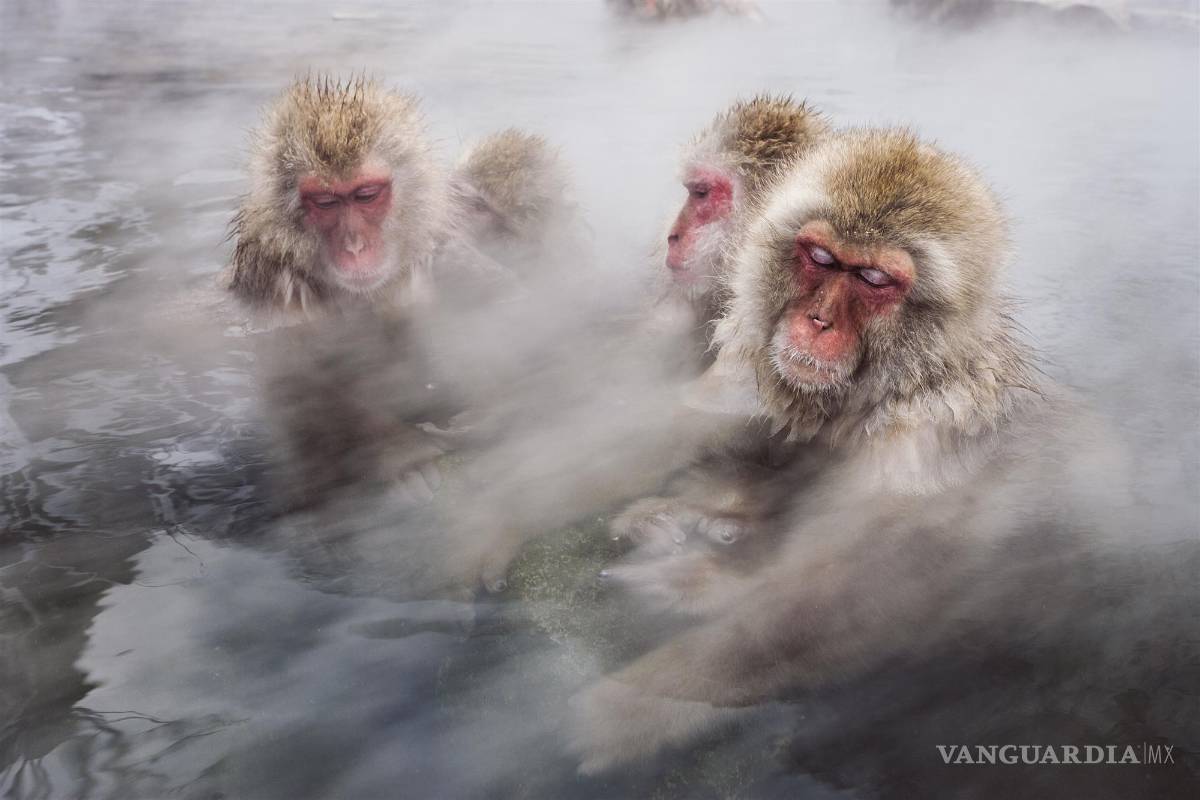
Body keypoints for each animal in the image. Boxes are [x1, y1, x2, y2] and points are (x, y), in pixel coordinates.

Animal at [569, 127, 1131, 772]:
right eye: (821, 259)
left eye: (873, 280)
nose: (817, 320)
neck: (884, 387)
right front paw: (693, 522)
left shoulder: (918, 443)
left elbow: (882, 589)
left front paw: (638, 703)